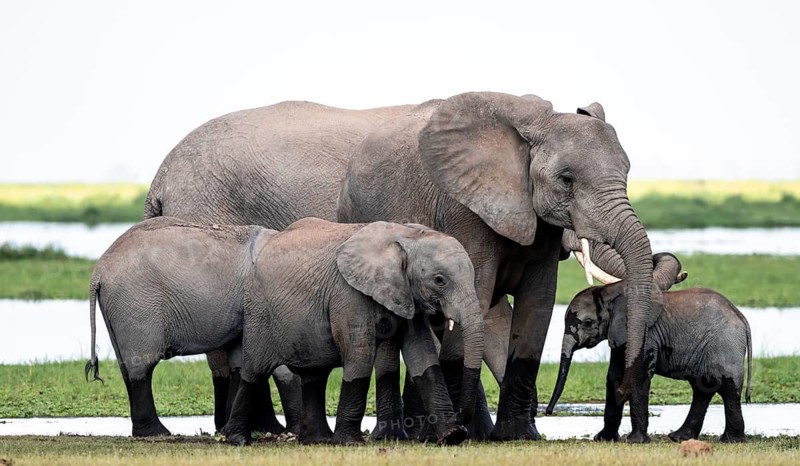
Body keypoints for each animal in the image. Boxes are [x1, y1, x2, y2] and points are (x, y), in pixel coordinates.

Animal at [221, 218, 484, 446]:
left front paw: (452, 436)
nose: (461, 417)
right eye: (439, 280)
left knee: (314, 377)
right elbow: (360, 356)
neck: (406, 235)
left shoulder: (407, 296)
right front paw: (349, 443)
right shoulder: (348, 295)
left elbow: (422, 357)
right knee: (255, 371)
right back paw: (238, 440)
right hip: (259, 312)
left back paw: (317, 441)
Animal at [338, 92, 655, 441]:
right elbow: (476, 294)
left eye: (626, 173)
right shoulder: (466, 211)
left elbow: (538, 304)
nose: (624, 389)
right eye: (566, 180)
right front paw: (456, 433)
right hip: (355, 216)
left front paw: (517, 436)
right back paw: (402, 436)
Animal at [545, 252, 753, 443]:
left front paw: (634, 441)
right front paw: (603, 439)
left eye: (588, 323)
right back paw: (679, 437)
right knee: (703, 387)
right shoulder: (620, 337)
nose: (548, 412)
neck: (610, 292)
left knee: (726, 387)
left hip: (725, 344)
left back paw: (730, 440)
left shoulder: (646, 335)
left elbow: (639, 375)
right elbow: (614, 376)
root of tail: (741, 317)